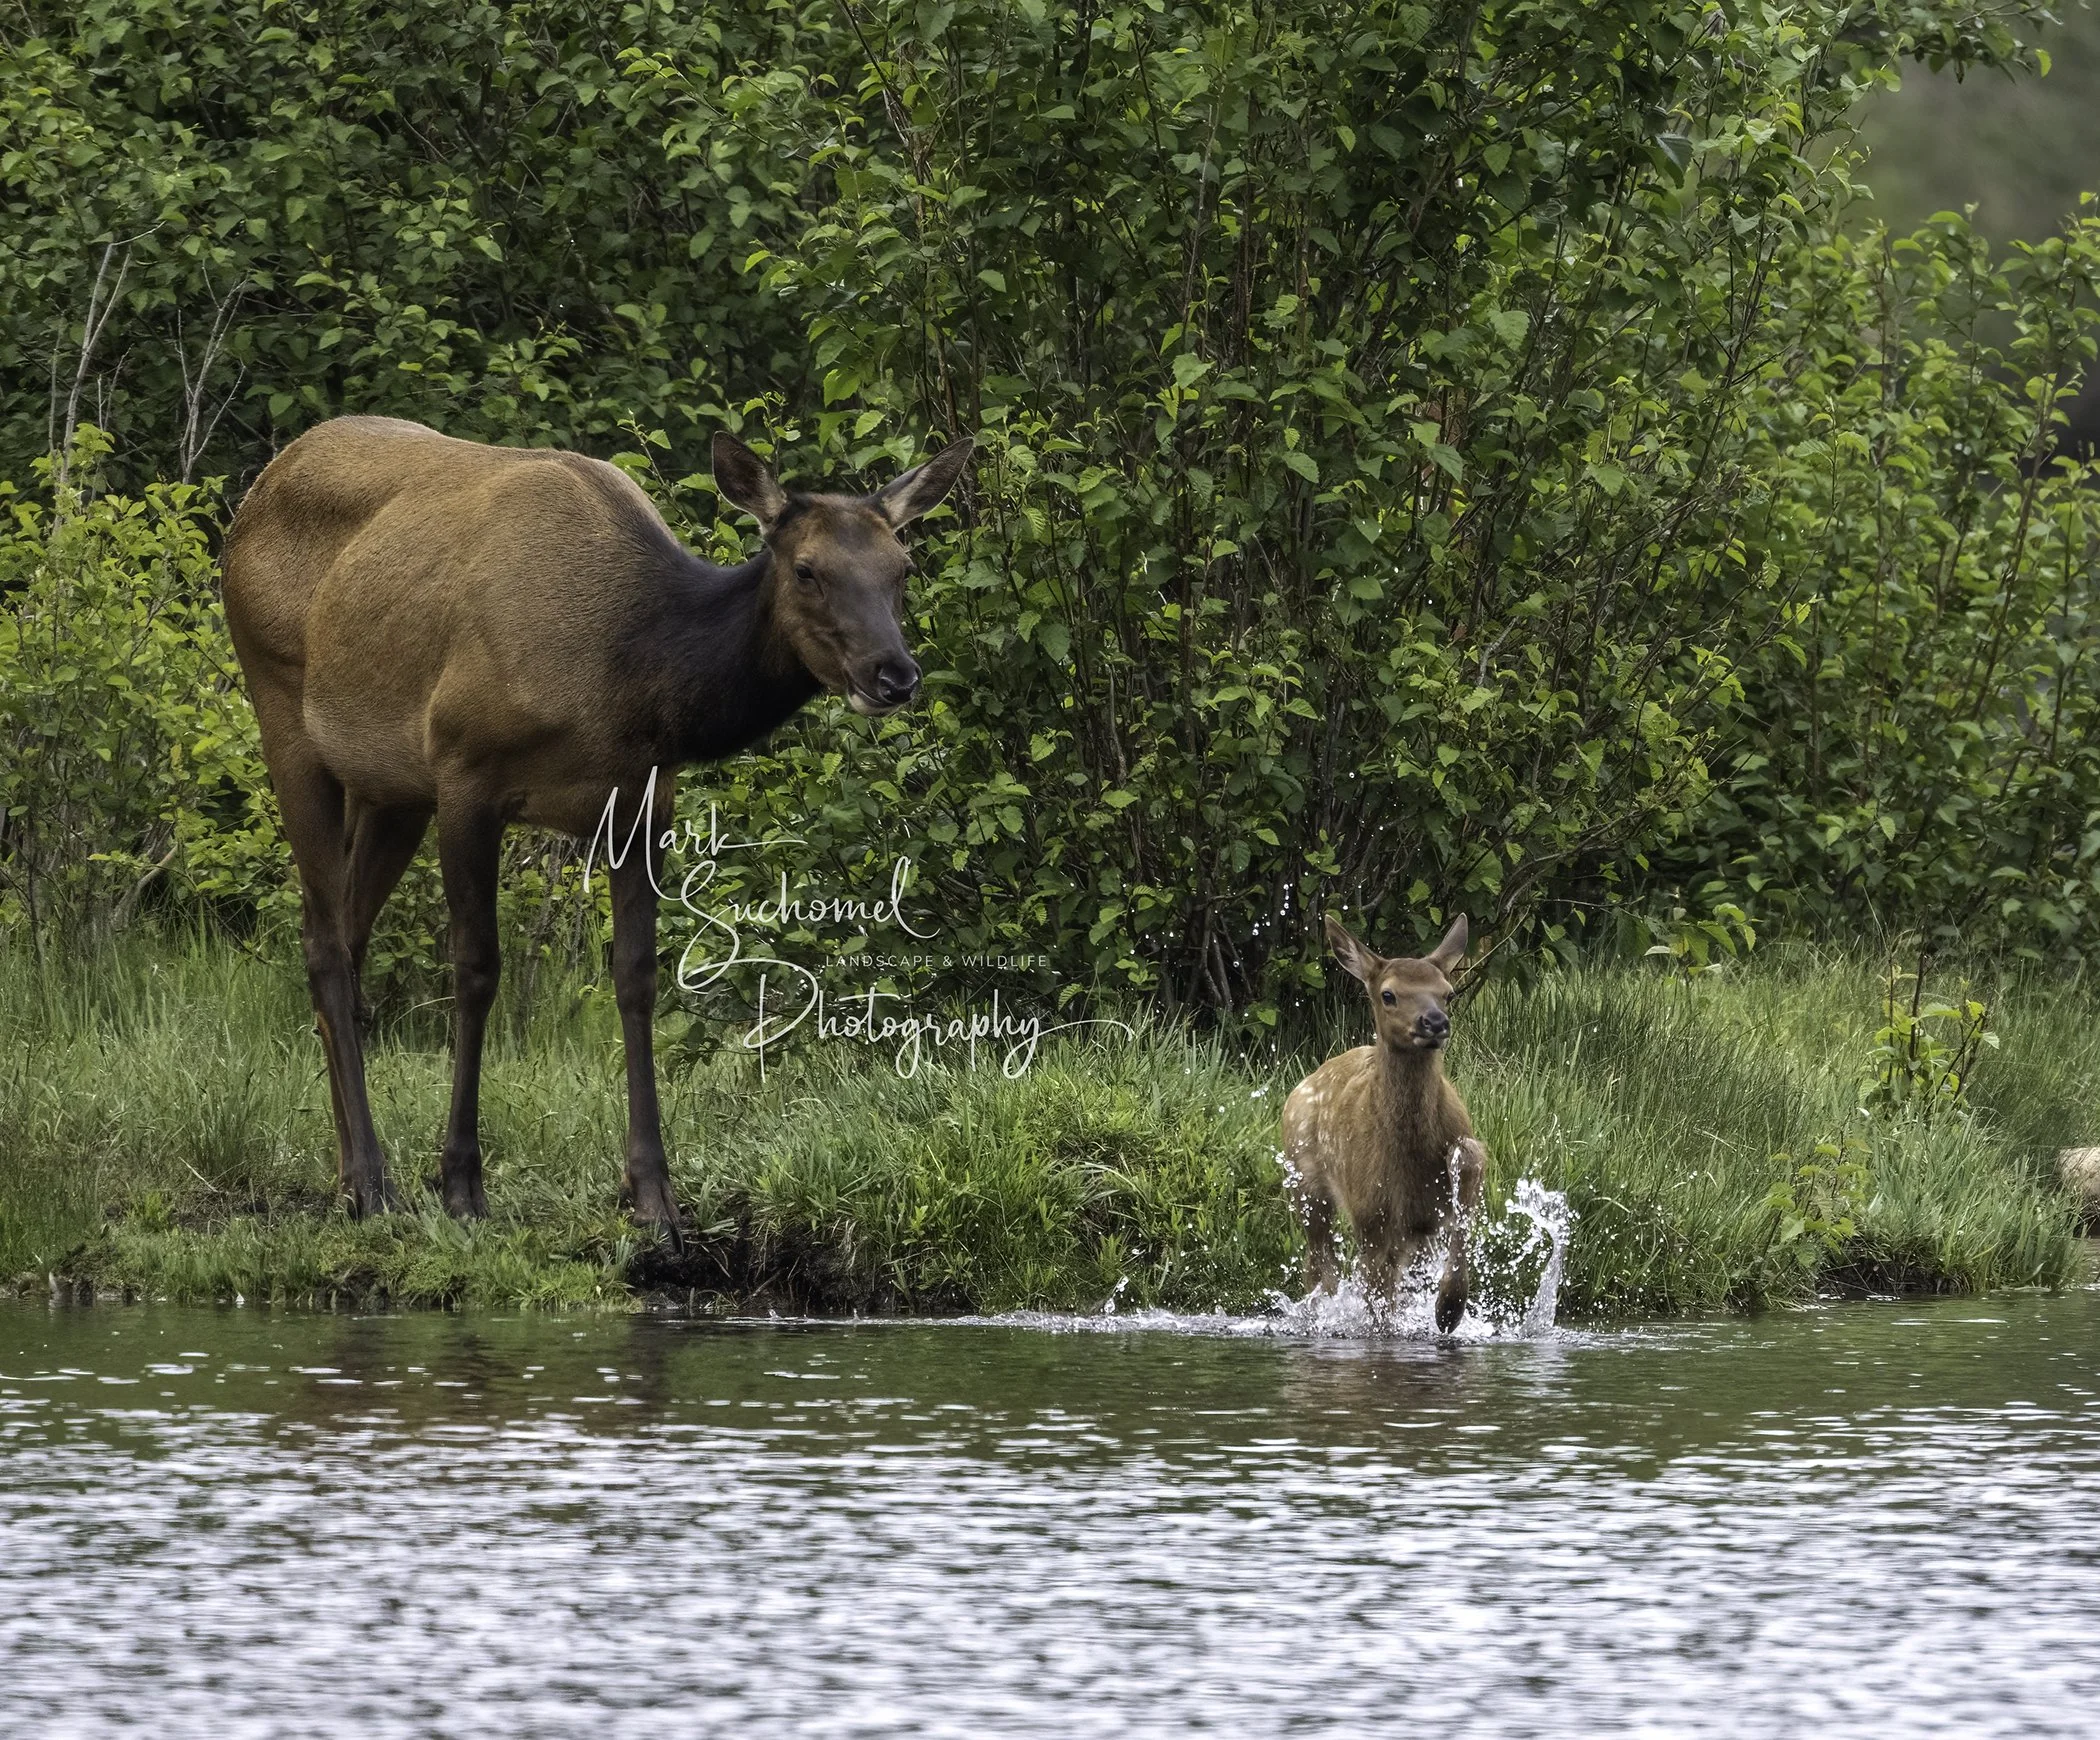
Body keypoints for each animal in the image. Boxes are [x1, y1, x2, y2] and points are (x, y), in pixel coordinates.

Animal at [220, 415, 972, 1232]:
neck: (625, 684)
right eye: (806, 569)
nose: (894, 675)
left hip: (387, 787)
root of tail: (255, 496)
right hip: (285, 711)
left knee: (343, 935)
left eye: (902, 566)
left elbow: (636, 974)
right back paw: (370, 1177)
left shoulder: (643, 800)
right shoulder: (464, 771)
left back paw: (348, 1173)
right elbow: (477, 969)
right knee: (326, 943)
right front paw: (461, 1183)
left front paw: (652, 1190)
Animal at [1282, 914, 1487, 1332]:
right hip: (1304, 1182)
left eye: (1448, 994)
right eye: (1389, 995)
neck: (1411, 1159)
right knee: (1320, 1265)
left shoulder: (1428, 1219)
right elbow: (1378, 1305)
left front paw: (1448, 1308)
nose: (1435, 1022)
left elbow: (1471, 1163)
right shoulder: (1372, 1216)